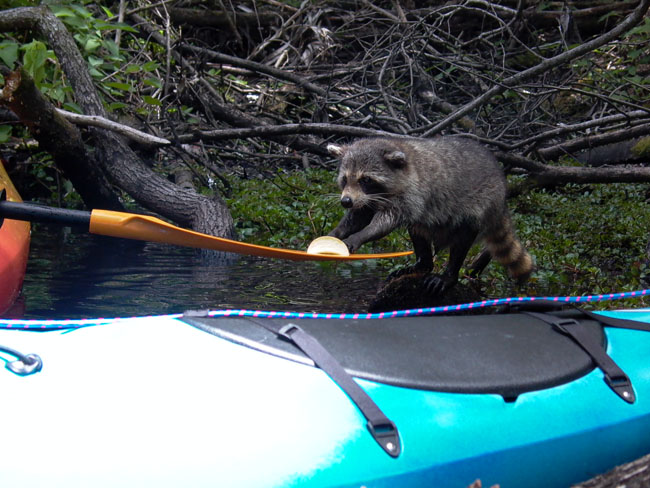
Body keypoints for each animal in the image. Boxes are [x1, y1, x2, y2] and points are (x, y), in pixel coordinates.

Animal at [326, 136, 528, 294]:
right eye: (345, 179)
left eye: (365, 180)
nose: (346, 201)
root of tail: (502, 191)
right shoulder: (367, 199)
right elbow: (358, 217)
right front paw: (337, 233)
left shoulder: (412, 194)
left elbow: (384, 223)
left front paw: (359, 236)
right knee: (418, 229)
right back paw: (423, 263)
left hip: (481, 202)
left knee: (463, 238)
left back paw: (449, 275)